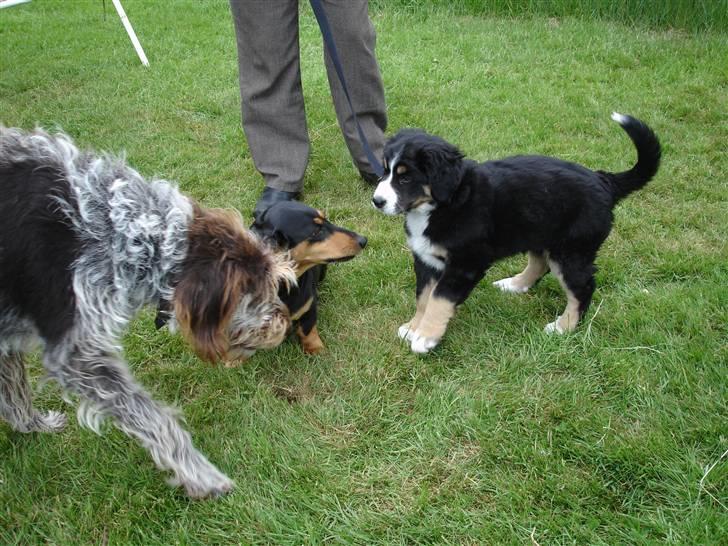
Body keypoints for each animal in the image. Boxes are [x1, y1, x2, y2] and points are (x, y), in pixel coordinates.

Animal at [0, 127, 296, 498]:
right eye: (259, 293)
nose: (285, 323)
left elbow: (14, 393)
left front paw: (32, 425)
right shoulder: (75, 353)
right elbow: (155, 419)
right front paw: (201, 475)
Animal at [372, 112, 664, 354]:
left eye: (405, 178)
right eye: (385, 171)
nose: (377, 201)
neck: (447, 203)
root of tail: (604, 181)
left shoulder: (466, 264)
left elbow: (438, 299)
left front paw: (426, 337)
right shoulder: (426, 259)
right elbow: (423, 297)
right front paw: (413, 327)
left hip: (572, 250)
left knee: (582, 288)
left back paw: (563, 327)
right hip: (539, 232)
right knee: (540, 263)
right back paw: (514, 284)